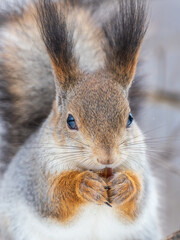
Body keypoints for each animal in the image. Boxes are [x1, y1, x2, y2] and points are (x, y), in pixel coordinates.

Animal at [0, 0, 162, 240]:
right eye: (70, 121)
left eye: (130, 118)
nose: (107, 157)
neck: (99, 171)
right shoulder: (37, 179)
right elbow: (55, 200)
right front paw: (83, 185)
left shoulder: (138, 165)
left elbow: (137, 202)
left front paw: (125, 185)